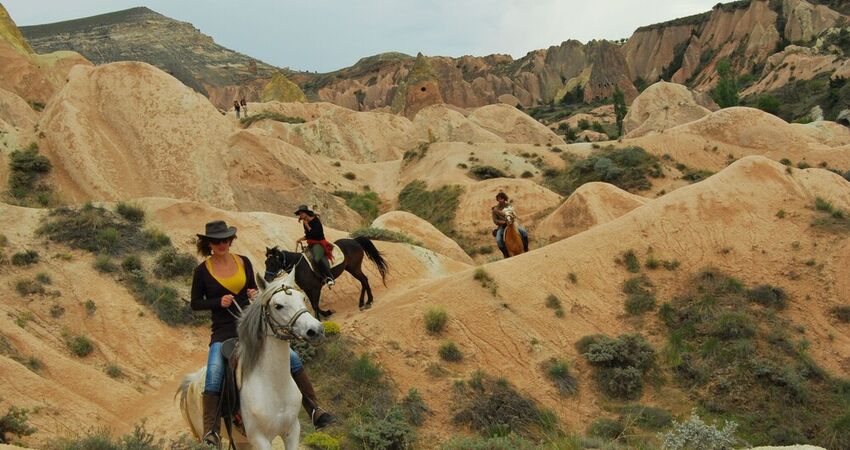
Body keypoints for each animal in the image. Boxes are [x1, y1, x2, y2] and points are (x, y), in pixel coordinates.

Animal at [177, 270, 322, 450]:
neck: (274, 387)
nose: (315, 330)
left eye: (302, 298)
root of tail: (191, 382)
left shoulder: (292, 430)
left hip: (241, 441)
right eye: (278, 306)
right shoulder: (259, 439)